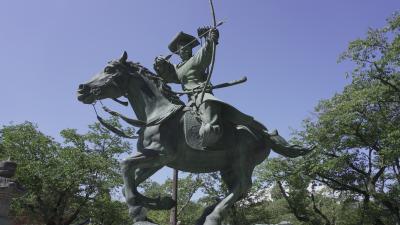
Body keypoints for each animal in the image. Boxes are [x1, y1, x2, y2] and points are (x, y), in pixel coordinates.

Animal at [78, 51, 310, 224]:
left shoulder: (161, 154)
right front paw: (162, 202)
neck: (157, 113)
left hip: (243, 161)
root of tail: (264, 134)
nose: (81, 89)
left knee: (243, 186)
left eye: (109, 69)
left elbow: (125, 166)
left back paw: (212, 216)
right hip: (228, 167)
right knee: (238, 190)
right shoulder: (156, 160)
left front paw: (138, 210)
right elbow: (131, 180)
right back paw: (205, 213)